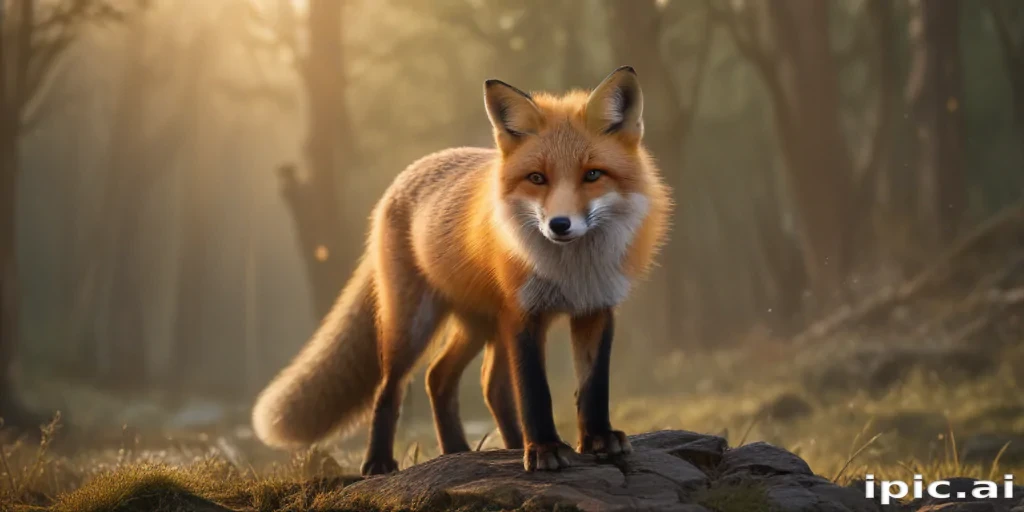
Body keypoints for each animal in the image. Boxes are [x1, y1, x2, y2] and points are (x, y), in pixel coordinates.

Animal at [252, 66, 672, 475]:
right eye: (537, 178)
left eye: (593, 175)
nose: (559, 225)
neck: (572, 270)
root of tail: (407, 174)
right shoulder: (525, 314)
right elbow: (535, 391)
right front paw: (545, 450)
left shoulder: (595, 309)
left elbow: (593, 387)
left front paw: (597, 440)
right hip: (415, 325)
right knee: (392, 387)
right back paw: (380, 462)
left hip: (483, 325)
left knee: (457, 380)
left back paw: (469, 449)